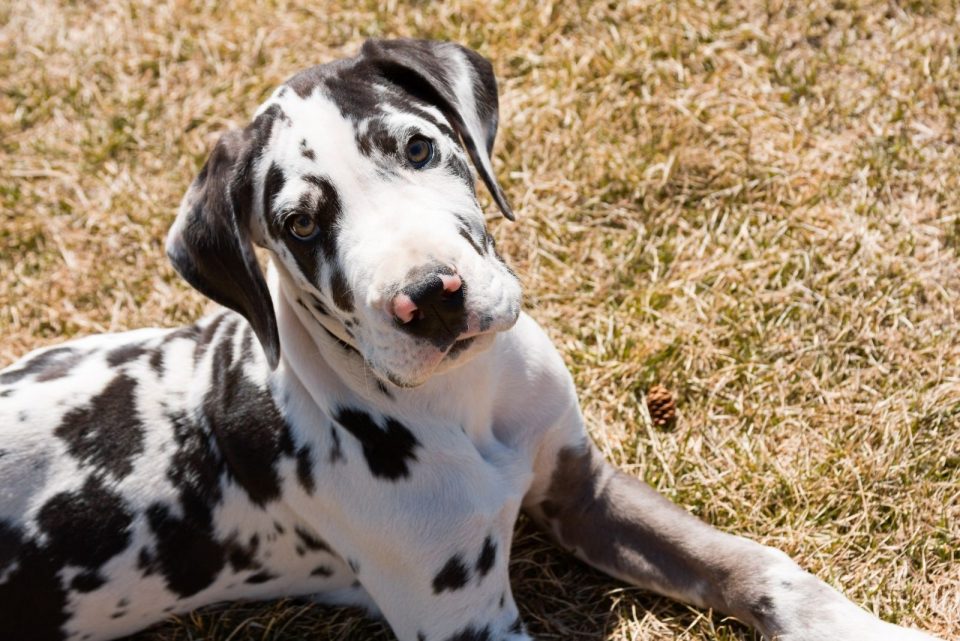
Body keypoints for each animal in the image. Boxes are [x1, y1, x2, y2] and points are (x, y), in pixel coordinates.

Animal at [0, 38, 944, 640]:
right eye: (300, 224)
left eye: (419, 147)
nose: (430, 297)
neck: (464, 401)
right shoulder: (465, 620)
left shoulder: (584, 491)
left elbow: (756, 562)